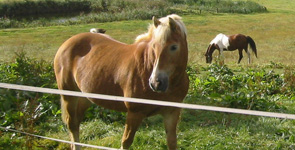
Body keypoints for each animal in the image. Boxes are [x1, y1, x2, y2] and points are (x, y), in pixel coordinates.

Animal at [54, 14, 190, 150]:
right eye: (153, 46)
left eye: (174, 47)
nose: (156, 83)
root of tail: (67, 43)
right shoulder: (134, 114)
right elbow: (126, 142)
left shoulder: (171, 113)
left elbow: (172, 142)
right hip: (69, 96)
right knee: (72, 124)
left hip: (85, 97)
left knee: (77, 121)